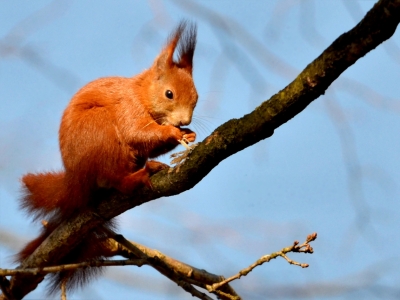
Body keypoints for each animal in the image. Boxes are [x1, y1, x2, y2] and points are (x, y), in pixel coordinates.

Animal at [17, 20, 198, 292]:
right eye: (169, 94)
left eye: (196, 97)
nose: (184, 121)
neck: (141, 92)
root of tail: (76, 183)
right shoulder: (128, 108)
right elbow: (137, 132)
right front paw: (172, 131)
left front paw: (189, 134)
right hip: (100, 133)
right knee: (117, 180)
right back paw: (140, 175)